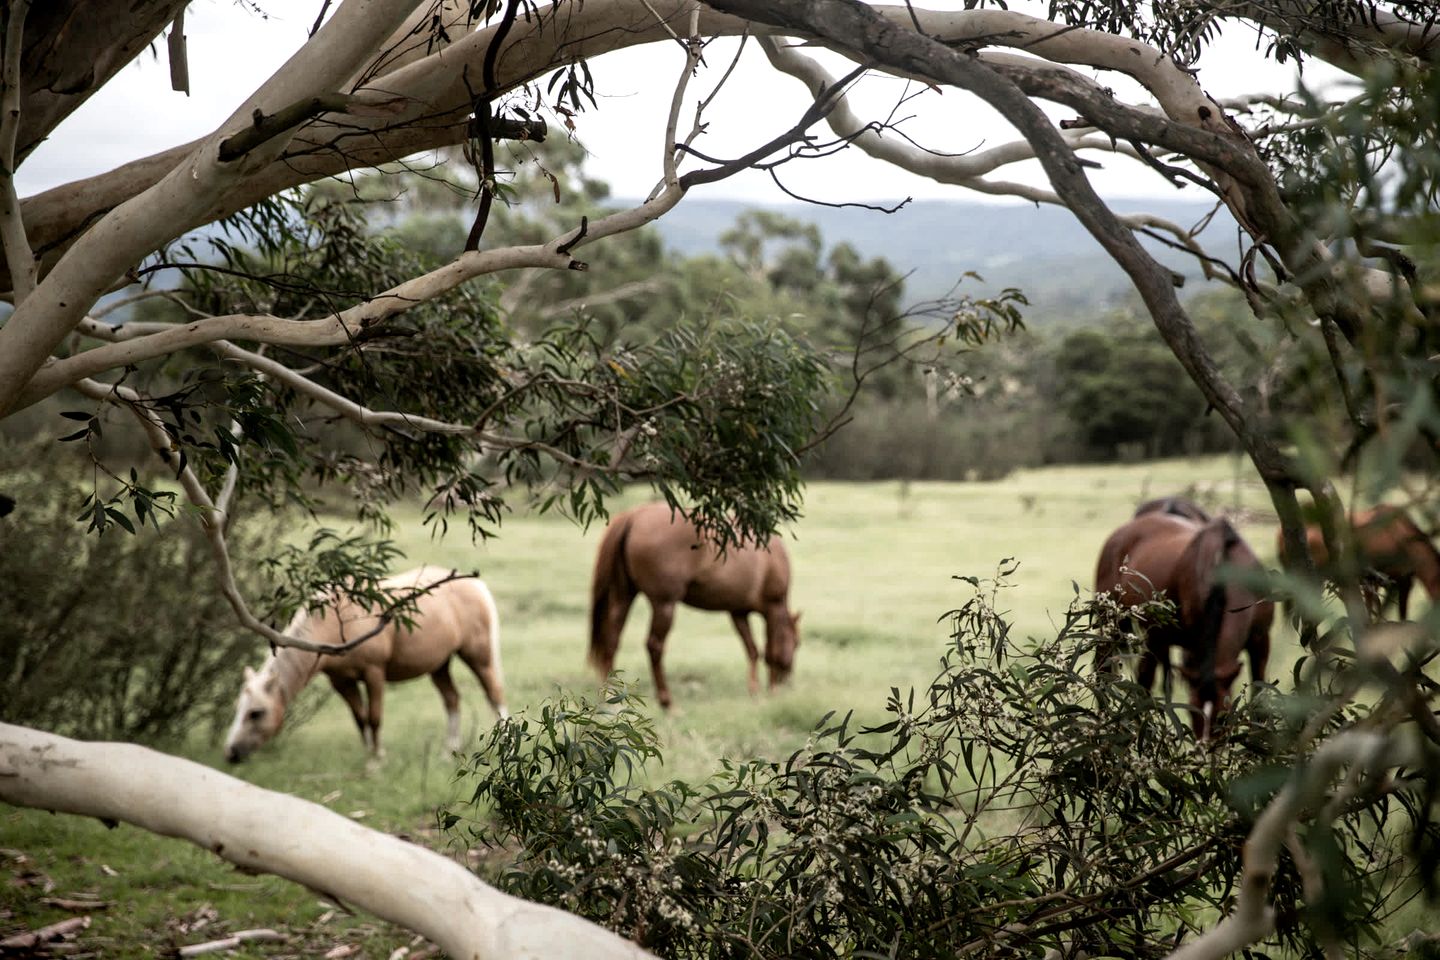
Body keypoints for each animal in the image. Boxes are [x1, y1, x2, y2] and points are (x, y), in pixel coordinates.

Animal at [224, 566, 507, 763]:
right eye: (238, 708)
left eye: (256, 713)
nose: (231, 753)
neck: (334, 620)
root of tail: (474, 582)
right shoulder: (341, 681)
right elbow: (360, 719)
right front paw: (370, 759)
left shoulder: (374, 673)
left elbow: (374, 718)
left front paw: (377, 762)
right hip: (439, 664)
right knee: (452, 700)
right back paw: (448, 753)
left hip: (478, 655)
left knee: (495, 695)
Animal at [588, 502, 801, 710]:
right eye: (797, 643)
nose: (787, 681)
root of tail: (635, 515)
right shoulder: (773, 608)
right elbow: (771, 651)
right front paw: (772, 691)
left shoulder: (738, 613)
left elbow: (753, 650)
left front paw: (754, 690)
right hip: (664, 604)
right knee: (654, 646)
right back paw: (667, 703)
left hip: (623, 595)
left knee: (611, 639)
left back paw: (610, 697)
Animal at [1094, 511, 1273, 739]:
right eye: (1193, 712)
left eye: (1223, 716)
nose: (1205, 746)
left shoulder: (1260, 641)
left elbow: (1259, 694)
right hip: (1112, 622)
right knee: (1106, 671)